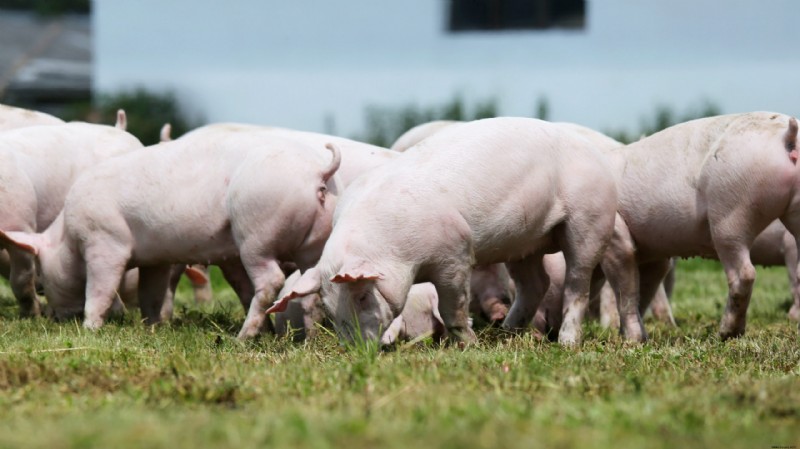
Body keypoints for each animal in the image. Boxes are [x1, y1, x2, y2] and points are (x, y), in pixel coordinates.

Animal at [268, 117, 620, 344]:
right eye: (328, 306)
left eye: (364, 296)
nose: (358, 350)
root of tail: (595, 155)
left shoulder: (456, 253)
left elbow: (453, 307)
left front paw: (468, 346)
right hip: (525, 241)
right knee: (535, 283)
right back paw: (507, 334)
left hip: (590, 218)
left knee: (577, 282)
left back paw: (567, 343)